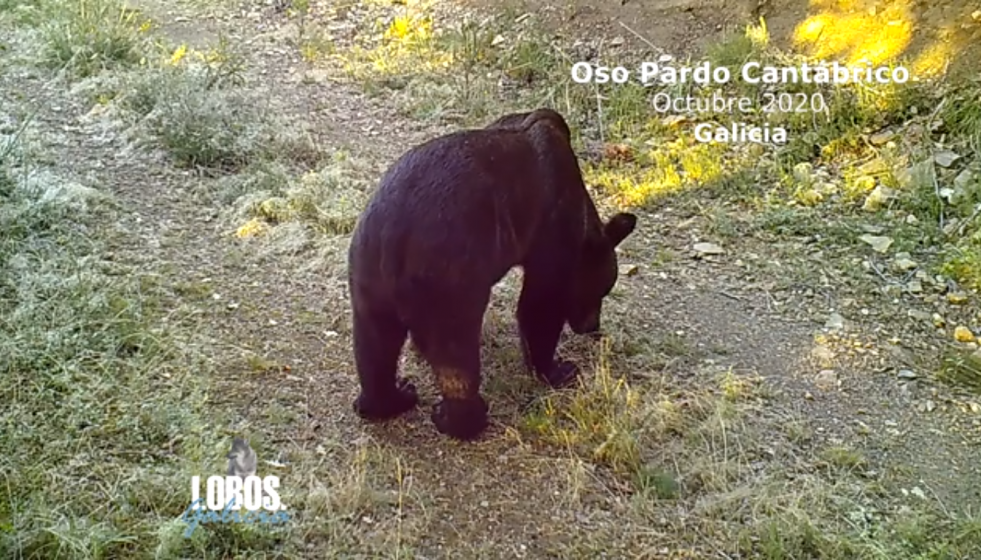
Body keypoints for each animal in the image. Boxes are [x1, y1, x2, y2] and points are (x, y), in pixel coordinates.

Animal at [347, 107, 637, 441]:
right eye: (601, 289)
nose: (592, 326)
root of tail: (394, 236)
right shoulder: (552, 229)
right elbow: (542, 304)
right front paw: (556, 370)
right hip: (446, 280)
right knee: (456, 357)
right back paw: (461, 419)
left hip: (368, 278)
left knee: (374, 347)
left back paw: (391, 399)